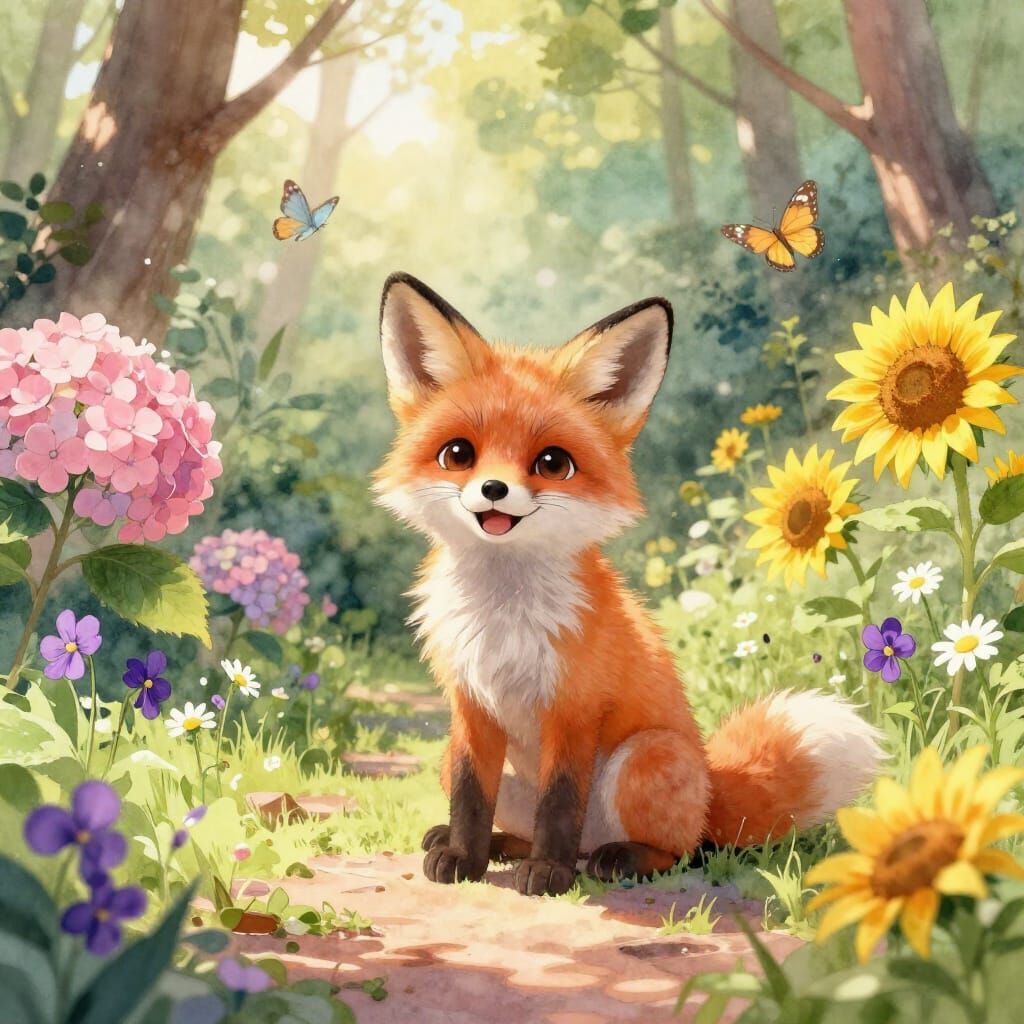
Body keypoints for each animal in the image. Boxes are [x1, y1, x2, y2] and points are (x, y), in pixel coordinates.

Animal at [374, 271, 883, 897]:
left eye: (552, 463)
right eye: (457, 454)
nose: (493, 489)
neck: (504, 616)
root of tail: (711, 790)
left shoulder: (574, 707)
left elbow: (559, 804)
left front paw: (547, 875)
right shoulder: (470, 707)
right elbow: (471, 800)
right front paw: (464, 857)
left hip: (646, 757)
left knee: (681, 851)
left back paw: (610, 859)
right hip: (456, 758)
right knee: (527, 824)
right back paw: (497, 846)